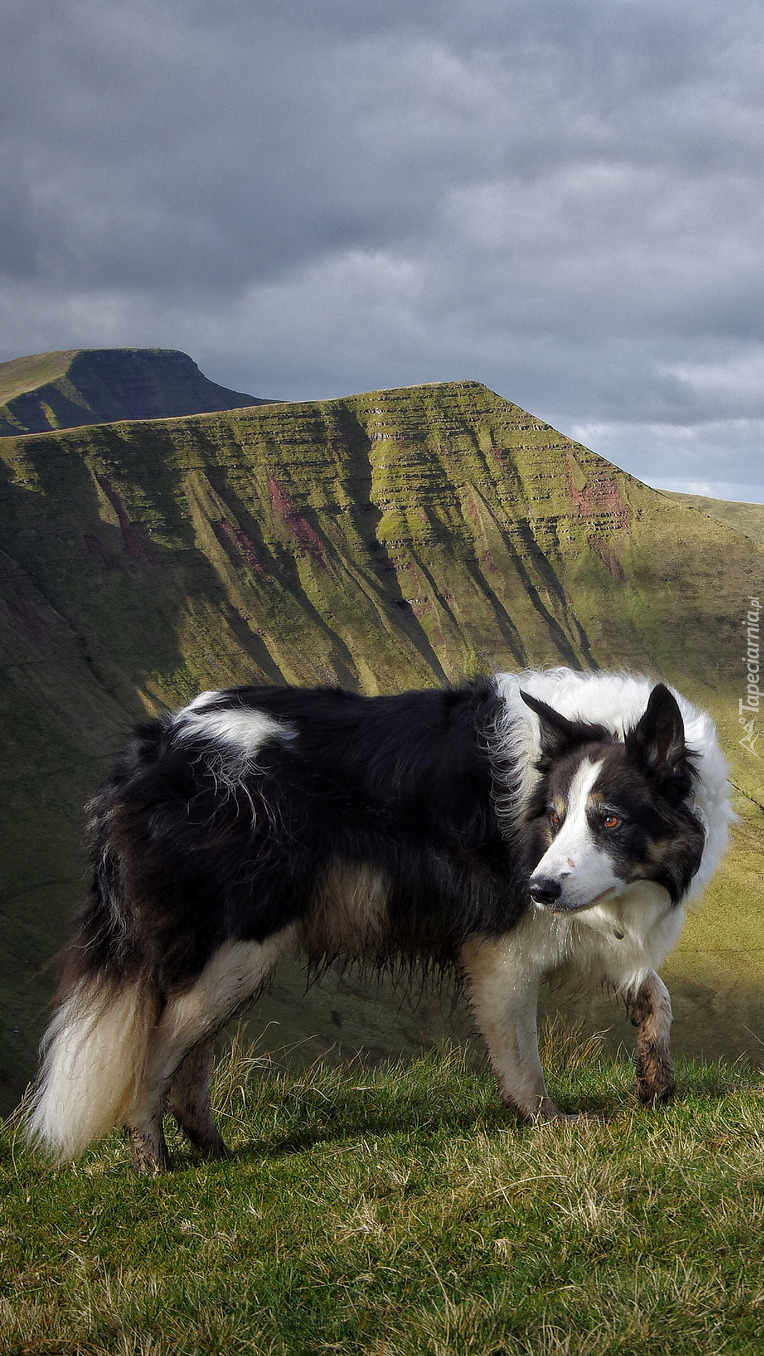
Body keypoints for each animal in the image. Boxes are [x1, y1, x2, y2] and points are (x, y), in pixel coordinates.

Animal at [26, 664, 732, 1166]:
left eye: (607, 820)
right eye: (555, 819)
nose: (535, 888)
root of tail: (153, 749)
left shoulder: (587, 911)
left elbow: (657, 997)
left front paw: (656, 1084)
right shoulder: (503, 948)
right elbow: (522, 1056)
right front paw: (552, 1125)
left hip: (240, 961)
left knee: (189, 1057)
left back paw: (211, 1151)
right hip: (237, 944)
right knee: (156, 1053)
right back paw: (153, 1162)